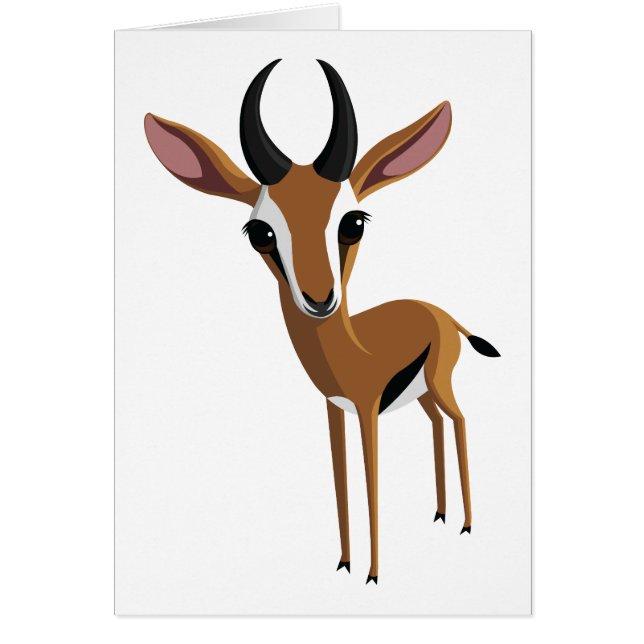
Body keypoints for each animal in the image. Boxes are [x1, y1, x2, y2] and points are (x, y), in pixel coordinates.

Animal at [144, 59, 499, 585]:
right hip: (422, 394)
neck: (352, 351)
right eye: (261, 232)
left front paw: (373, 574)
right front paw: (345, 563)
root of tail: (442, 314)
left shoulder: (368, 412)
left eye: (353, 222)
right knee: (437, 421)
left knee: (459, 419)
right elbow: (340, 480)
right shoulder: (333, 410)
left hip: (440, 382)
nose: (319, 299)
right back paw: (439, 514)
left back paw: (468, 524)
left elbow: (370, 478)